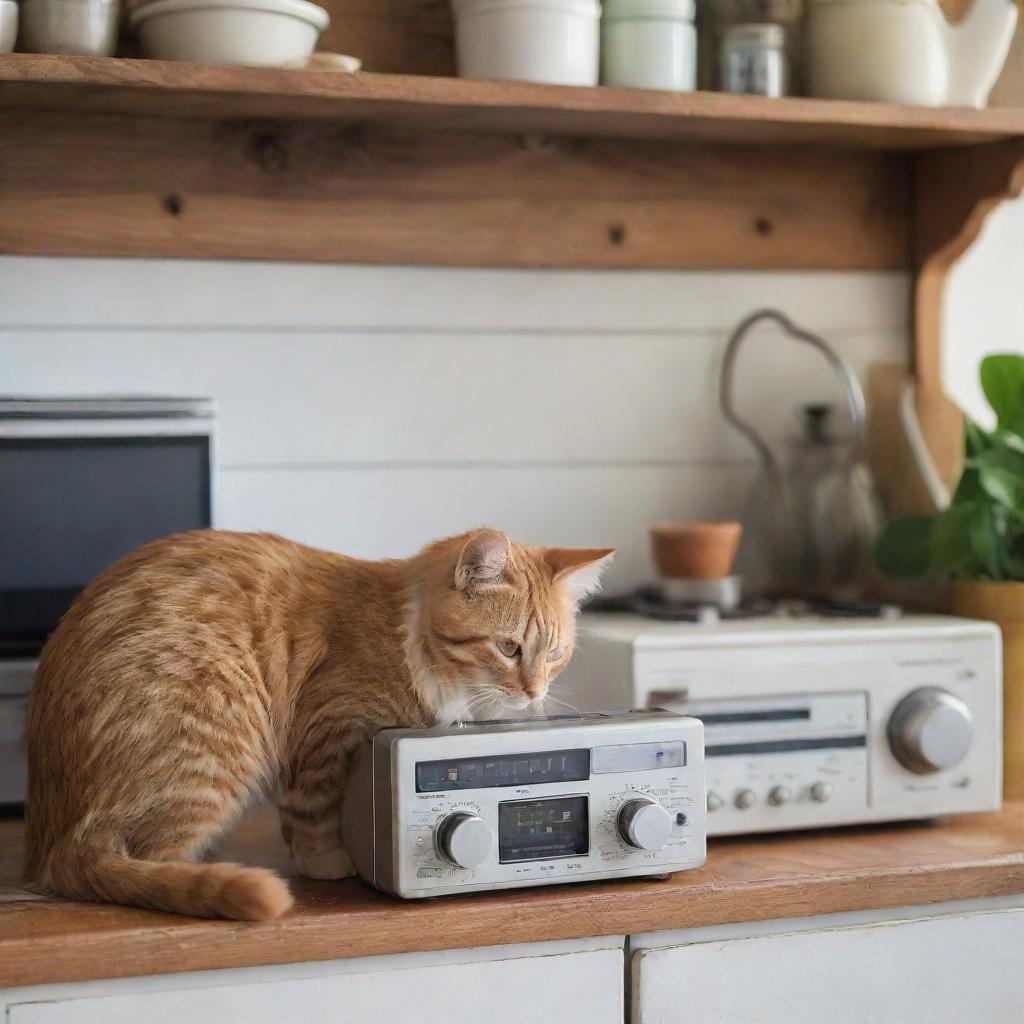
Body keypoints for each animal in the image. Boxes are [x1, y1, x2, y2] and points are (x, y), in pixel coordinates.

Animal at [24, 528, 610, 921]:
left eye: (553, 653)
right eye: (508, 648)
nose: (534, 692)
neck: (410, 636)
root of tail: (56, 844)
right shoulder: (328, 732)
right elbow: (311, 811)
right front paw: (323, 861)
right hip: (221, 728)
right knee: (155, 857)